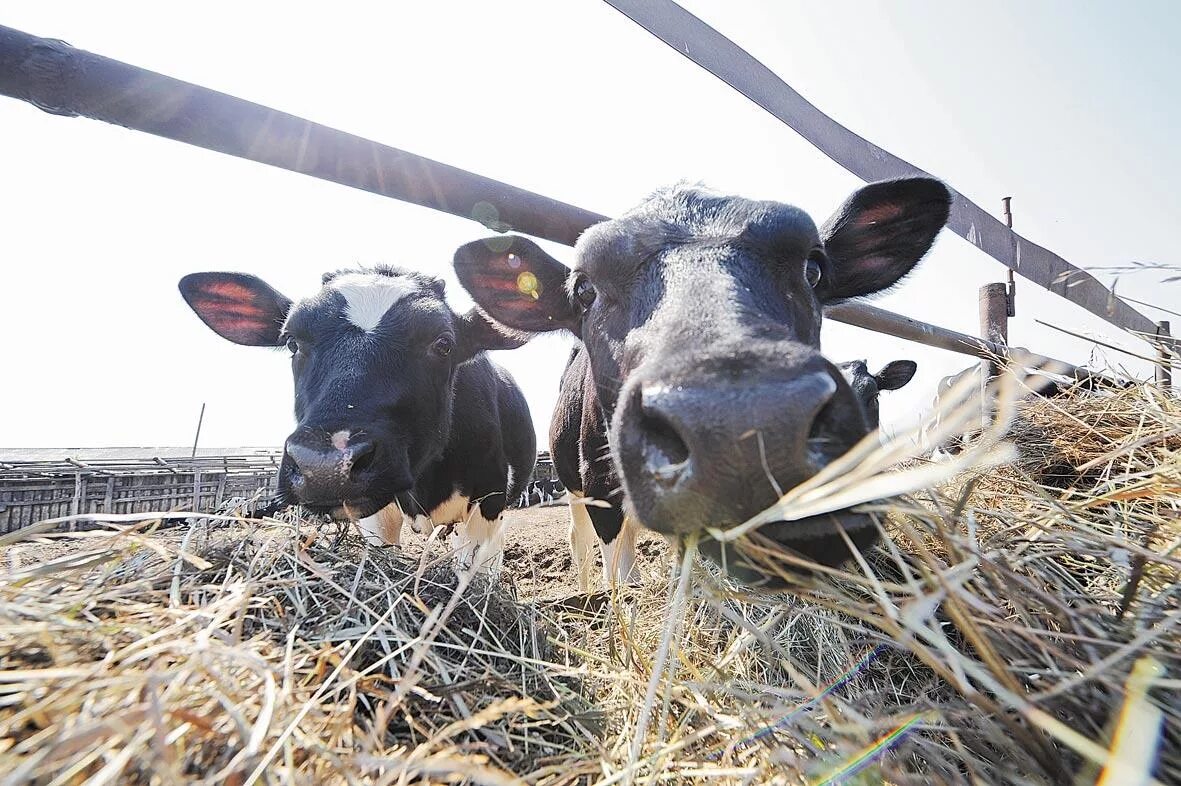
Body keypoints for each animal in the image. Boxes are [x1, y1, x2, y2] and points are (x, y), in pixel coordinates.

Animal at [451, 175, 949, 580]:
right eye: (585, 290)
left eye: (813, 268)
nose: (743, 426)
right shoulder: (599, 489)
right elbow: (618, 575)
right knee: (582, 542)